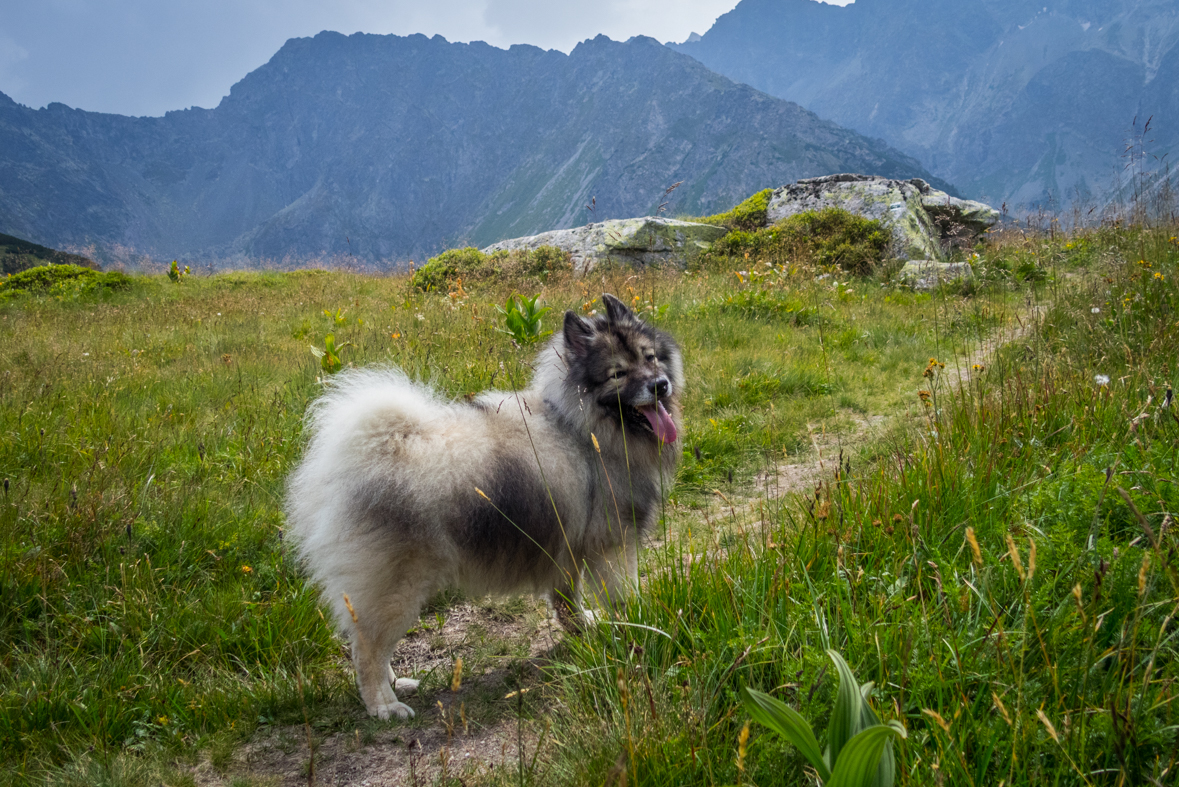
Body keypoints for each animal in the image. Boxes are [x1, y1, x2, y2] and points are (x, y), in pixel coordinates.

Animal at [286, 292, 688, 716]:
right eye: (617, 374)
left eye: (651, 358)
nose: (660, 385)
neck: (583, 428)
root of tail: (366, 451)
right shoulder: (614, 547)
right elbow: (624, 598)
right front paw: (636, 631)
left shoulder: (567, 545)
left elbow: (566, 600)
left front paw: (582, 628)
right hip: (397, 587)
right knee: (367, 648)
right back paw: (384, 705)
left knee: (367, 641)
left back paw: (396, 684)